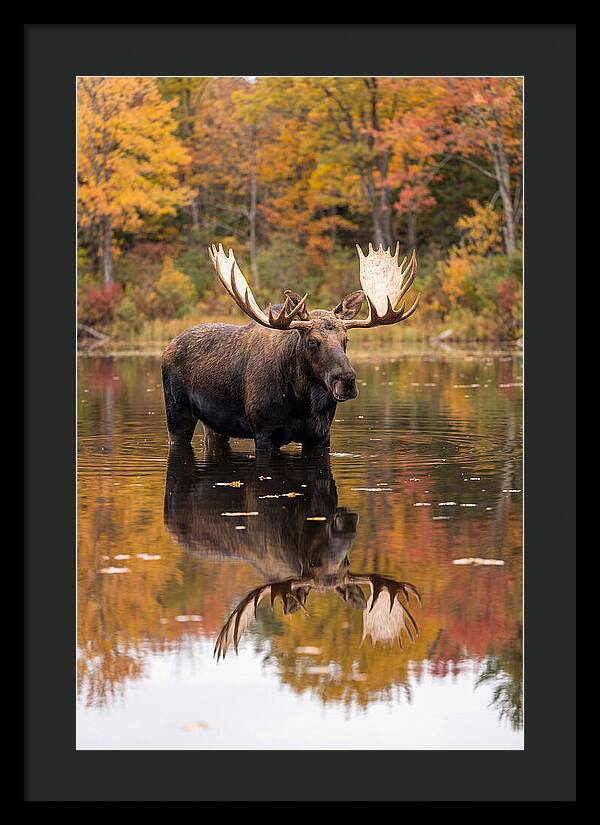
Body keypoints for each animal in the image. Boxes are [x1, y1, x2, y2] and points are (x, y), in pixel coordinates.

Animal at [161, 242, 419, 454]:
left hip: (214, 425)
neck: (301, 402)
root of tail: (169, 346)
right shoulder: (264, 432)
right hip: (176, 412)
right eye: (312, 341)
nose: (346, 380)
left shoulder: (321, 436)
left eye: (346, 340)